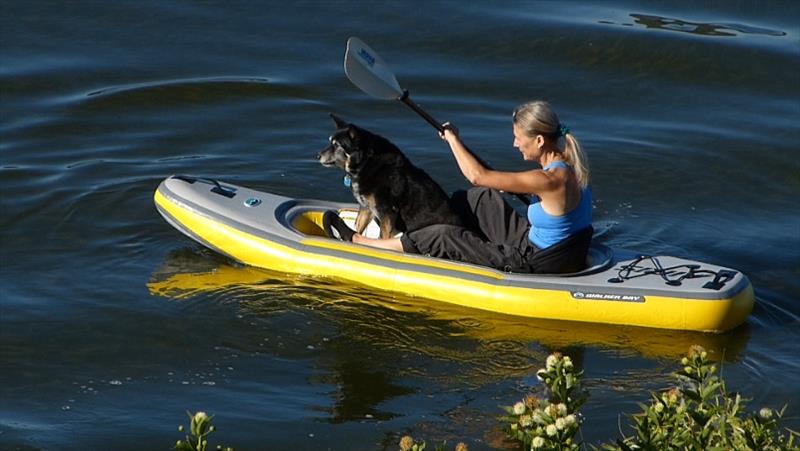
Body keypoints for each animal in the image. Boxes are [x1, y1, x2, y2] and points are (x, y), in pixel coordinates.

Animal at [318, 113, 466, 240]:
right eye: (330, 142)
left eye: (337, 145)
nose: (317, 155)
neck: (366, 162)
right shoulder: (367, 208)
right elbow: (358, 228)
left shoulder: (387, 213)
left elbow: (381, 238)